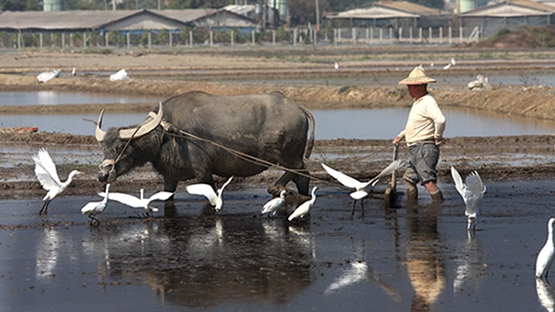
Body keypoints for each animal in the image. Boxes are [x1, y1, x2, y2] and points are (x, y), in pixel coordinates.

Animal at [93, 91, 314, 195]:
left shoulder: (203, 172)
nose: (102, 175)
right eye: (104, 148)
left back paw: (276, 188)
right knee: (302, 177)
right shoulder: (170, 178)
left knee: (300, 171)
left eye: (118, 147)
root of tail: (299, 108)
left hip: (286, 155)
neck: (169, 134)